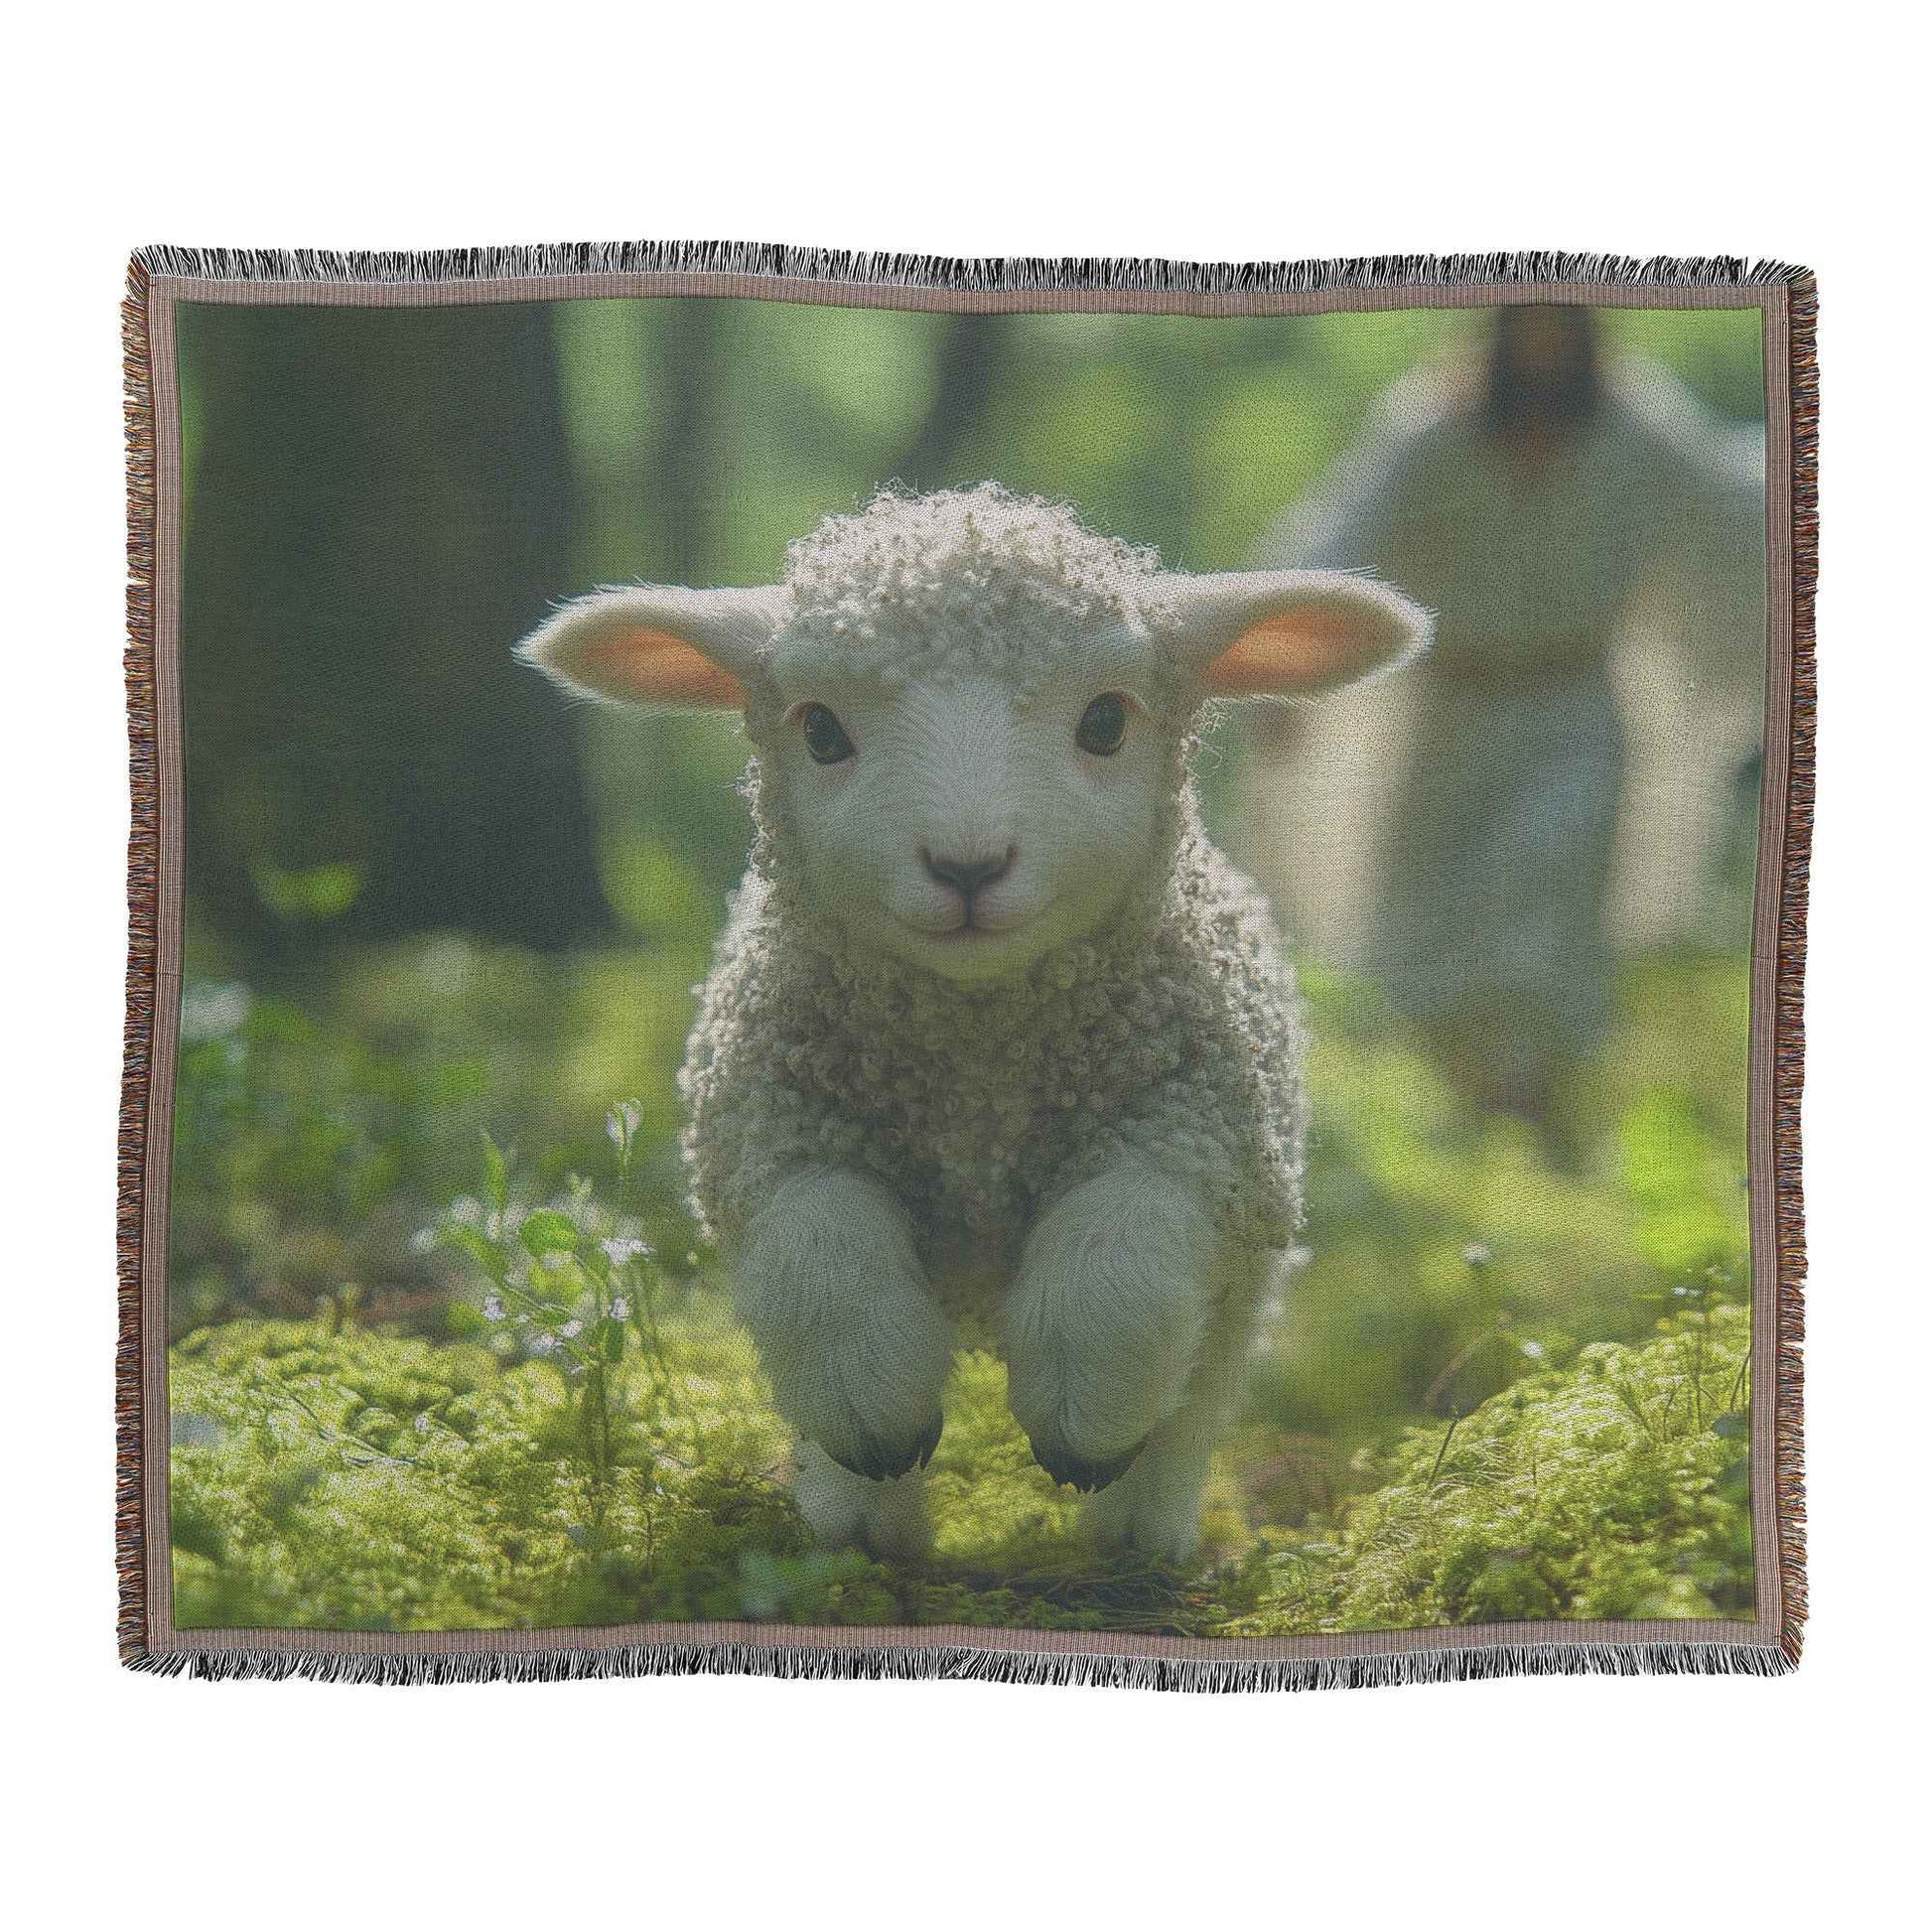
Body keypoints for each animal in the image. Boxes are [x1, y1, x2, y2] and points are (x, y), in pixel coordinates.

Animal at [518, 485, 1429, 1561]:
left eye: (1105, 720)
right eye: (820, 731)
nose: (966, 866)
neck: (977, 1075)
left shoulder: (1198, 1131)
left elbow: (1118, 1257)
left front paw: (1081, 1423)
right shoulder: (773, 1128)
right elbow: (819, 1258)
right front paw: (874, 1418)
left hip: (1247, 1266)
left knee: (1197, 1395)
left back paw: (1139, 1532)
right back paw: (861, 1523)